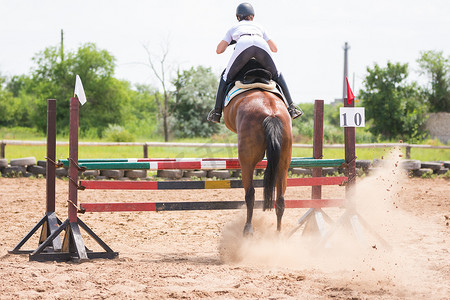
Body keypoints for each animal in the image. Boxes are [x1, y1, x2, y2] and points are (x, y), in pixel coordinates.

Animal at [223, 86, 294, 234]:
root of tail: (271, 114)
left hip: (246, 163)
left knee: (250, 194)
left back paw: (248, 229)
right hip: (283, 163)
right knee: (280, 199)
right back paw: (278, 233)